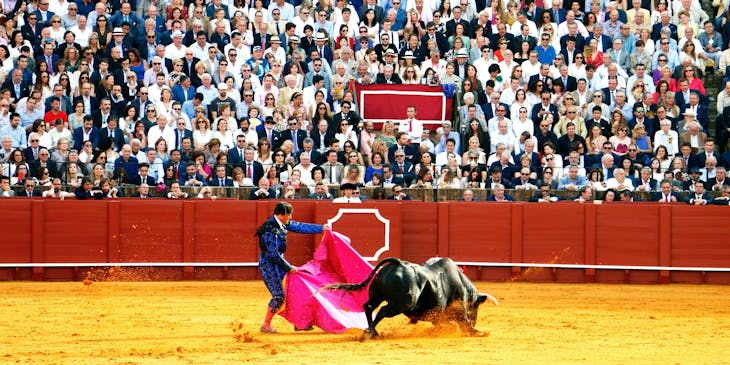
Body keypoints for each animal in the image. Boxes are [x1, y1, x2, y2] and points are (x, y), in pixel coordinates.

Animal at [328, 256, 498, 336]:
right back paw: (369, 333)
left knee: (368, 306)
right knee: (382, 311)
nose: (476, 322)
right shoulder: (457, 307)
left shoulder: (436, 314)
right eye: (476, 308)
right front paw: (478, 332)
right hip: (402, 304)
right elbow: (463, 321)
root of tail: (398, 263)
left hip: (377, 295)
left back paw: (373, 332)